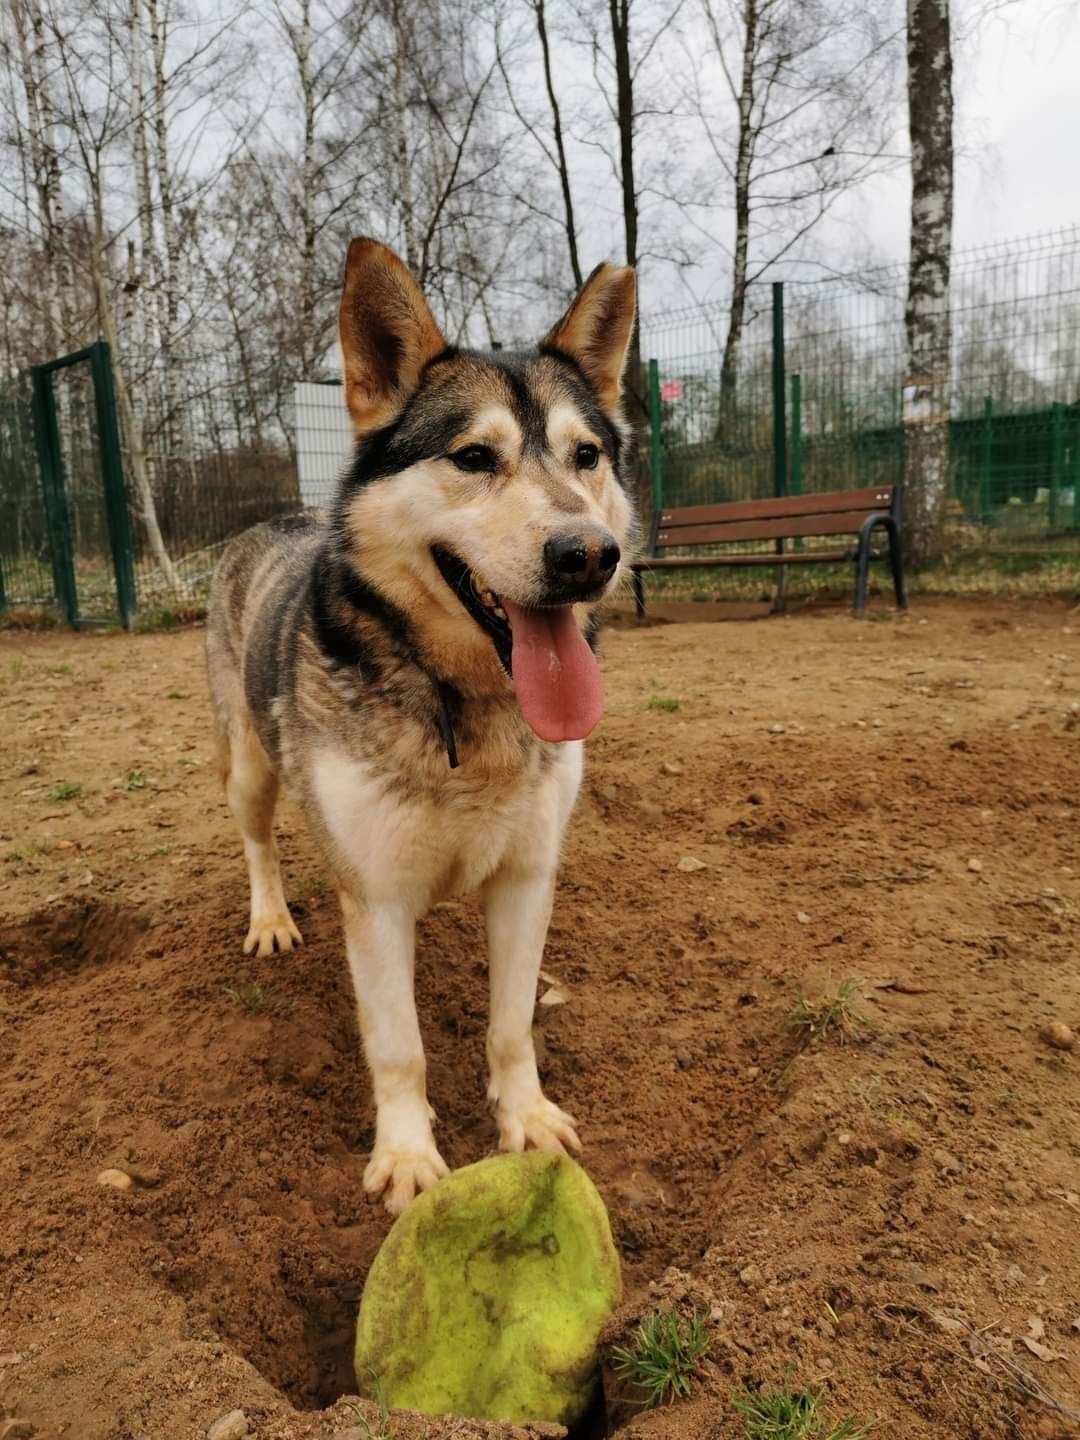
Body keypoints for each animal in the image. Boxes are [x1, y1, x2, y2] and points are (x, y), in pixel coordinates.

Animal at [207, 241, 639, 1209]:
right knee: (258, 840)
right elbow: (398, 1046)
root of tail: (272, 519)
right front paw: (406, 1156)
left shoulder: (526, 877)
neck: (464, 705)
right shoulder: (376, 899)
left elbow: (510, 1024)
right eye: (474, 457)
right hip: (248, 768)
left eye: (586, 456)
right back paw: (270, 918)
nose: (589, 555)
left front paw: (526, 1119)